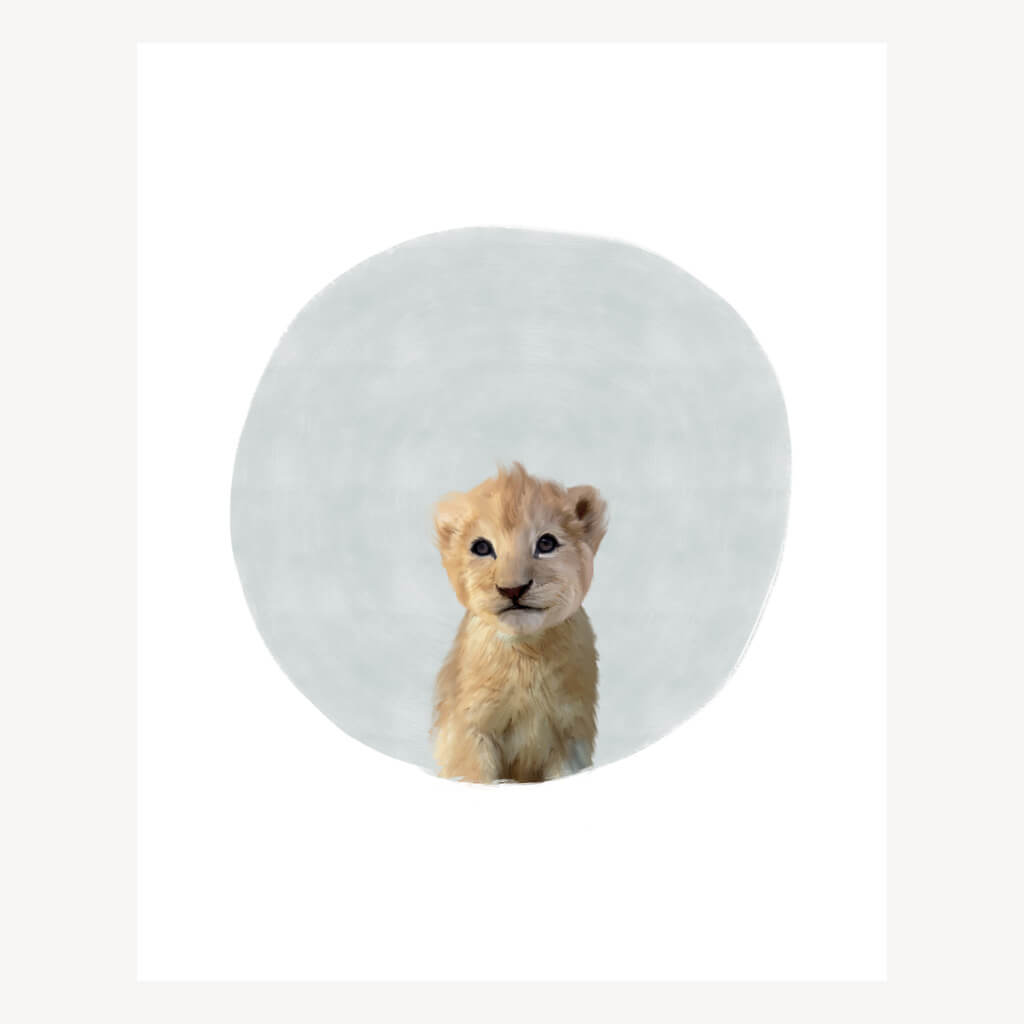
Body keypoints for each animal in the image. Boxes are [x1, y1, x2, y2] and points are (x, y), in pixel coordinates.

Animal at [430, 462, 608, 783]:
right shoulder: (469, 732)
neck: (526, 653)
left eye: (546, 543)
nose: (513, 589)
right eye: (481, 548)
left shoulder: (570, 735)